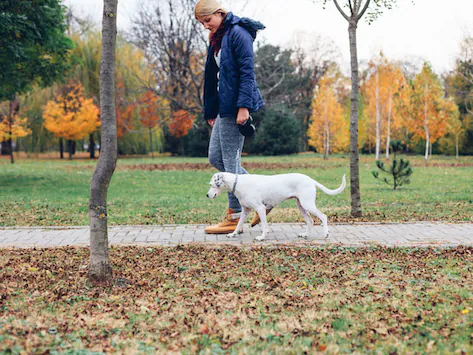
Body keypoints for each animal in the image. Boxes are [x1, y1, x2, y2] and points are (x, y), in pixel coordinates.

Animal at [205, 172, 344, 242]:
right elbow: (238, 224)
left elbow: (265, 226)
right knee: (310, 221)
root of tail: (310, 179)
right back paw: (305, 234)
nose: (207, 195)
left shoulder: (260, 209)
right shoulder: (245, 211)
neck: (238, 183)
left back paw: (326, 234)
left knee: (323, 216)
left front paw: (262, 237)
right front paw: (233, 234)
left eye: (212, 184)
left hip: (307, 205)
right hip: (301, 206)